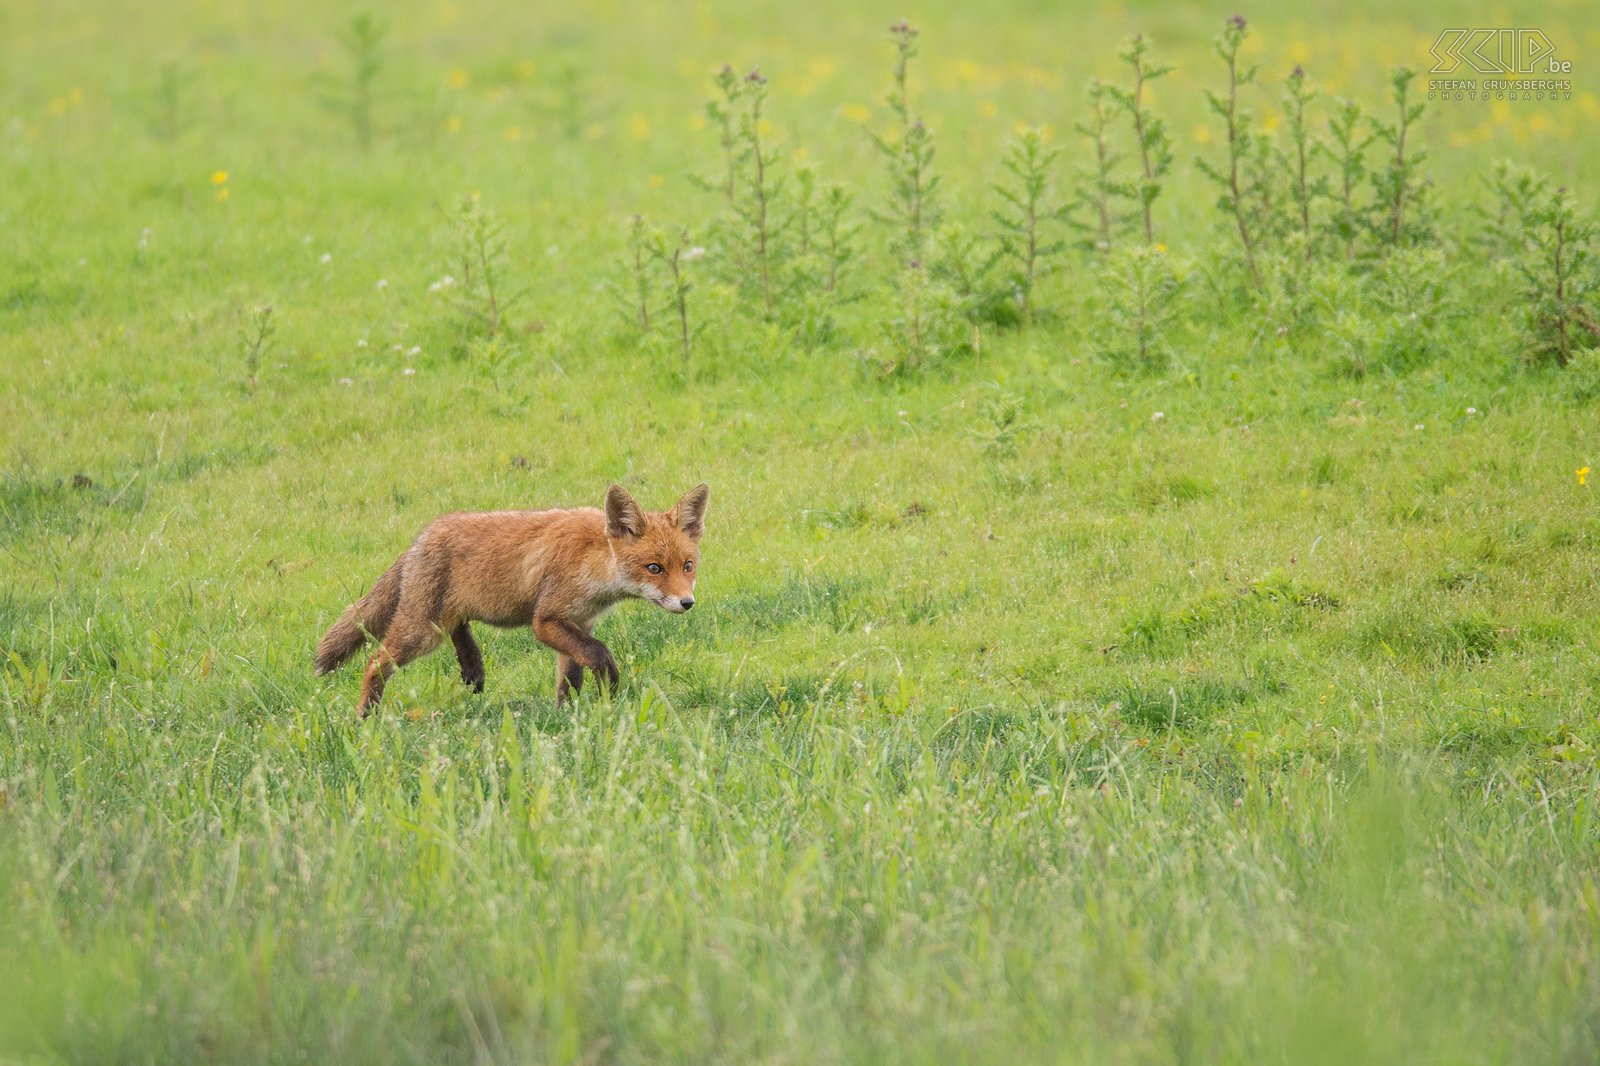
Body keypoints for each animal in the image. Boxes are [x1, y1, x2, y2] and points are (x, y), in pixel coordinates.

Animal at [315, 480, 704, 713]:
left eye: (687, 566)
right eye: (654, 568)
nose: (687, 603)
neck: (593, 560)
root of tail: (419, 540)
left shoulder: (579, 622)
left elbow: (570, 676)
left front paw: (568, 714)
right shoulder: (546, 620)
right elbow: (598, 654)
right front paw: (607, 687)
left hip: (442, 619)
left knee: (460, 630)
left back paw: (472, 669)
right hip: (422, 631)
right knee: (374, 662)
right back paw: (366, 718)